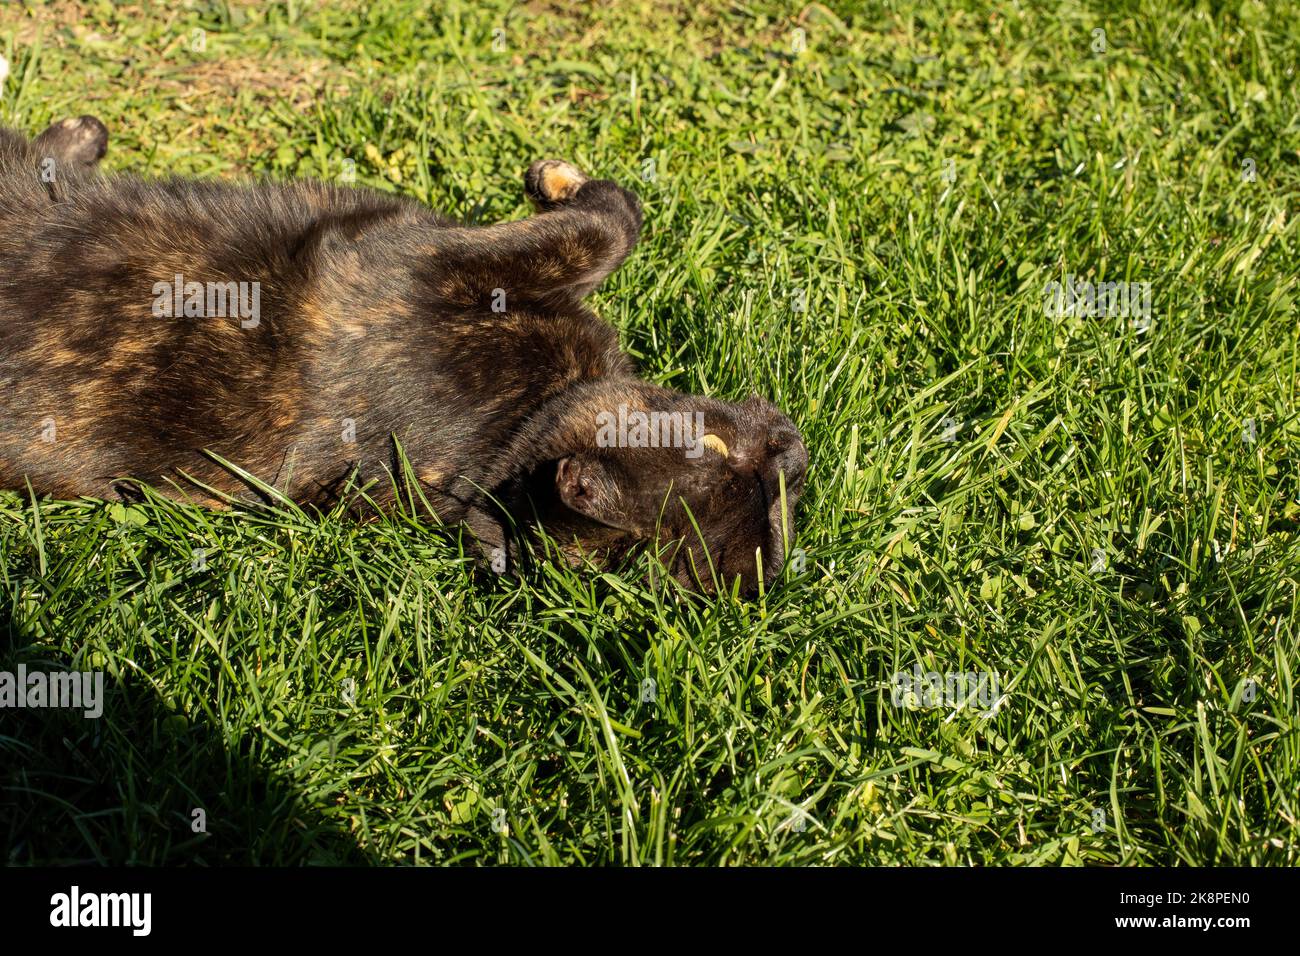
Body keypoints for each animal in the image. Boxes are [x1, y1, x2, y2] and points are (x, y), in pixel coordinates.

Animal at [0, 115, 806, 595]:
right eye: (712, 445)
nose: (794, 450)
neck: (512, 433)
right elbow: (615, 223)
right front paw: (556, 176)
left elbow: (612, 218)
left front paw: (557, 177)